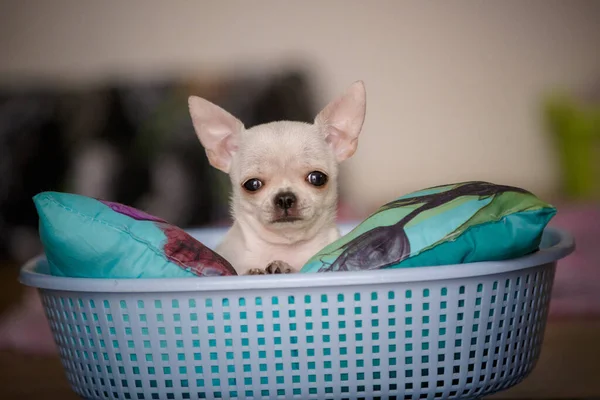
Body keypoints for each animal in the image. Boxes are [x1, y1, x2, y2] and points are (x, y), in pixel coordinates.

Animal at [188, 81, 366, 276]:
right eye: (252, 184)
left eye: (317, 178)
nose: (285, 198)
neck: (285, 245)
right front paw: (254, 271)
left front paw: (282, 267)